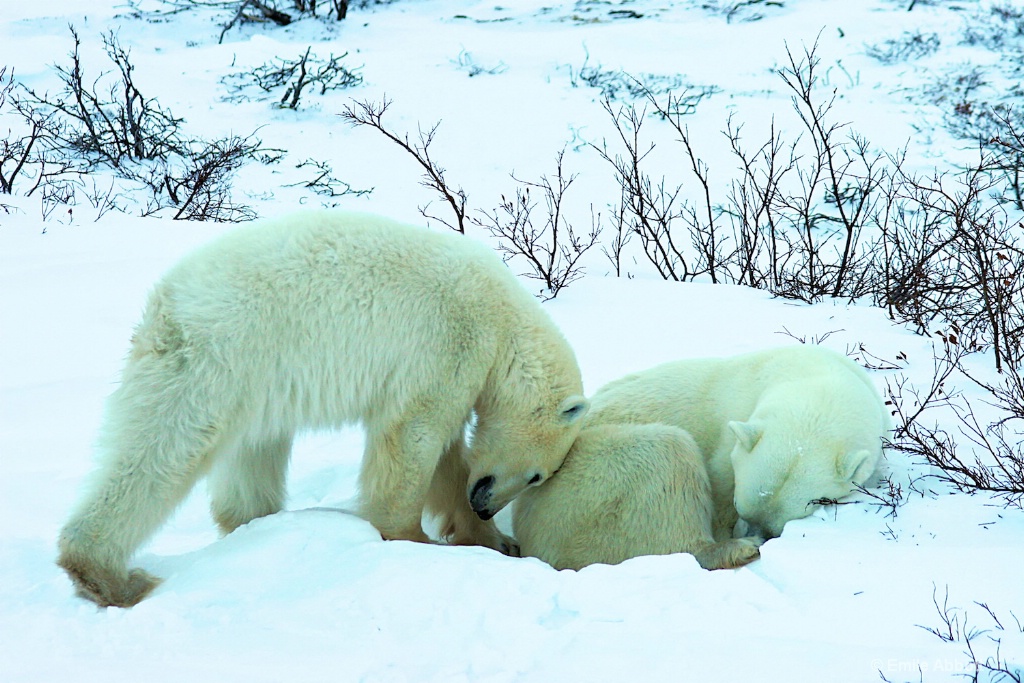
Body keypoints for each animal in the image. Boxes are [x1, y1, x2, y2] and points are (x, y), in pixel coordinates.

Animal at [59, 209, 589, 610]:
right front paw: (413, 542)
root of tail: (166, 304)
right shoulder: (449, 343)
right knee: (164, 447)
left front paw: (493, 539)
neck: (504, 320)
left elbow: (448, 456)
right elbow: (412, 437)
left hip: (255, 378)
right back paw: (108, 575)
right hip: (220, 355)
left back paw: (254, 523)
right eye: (538, 476)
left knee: (252, 451)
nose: (488, 504)